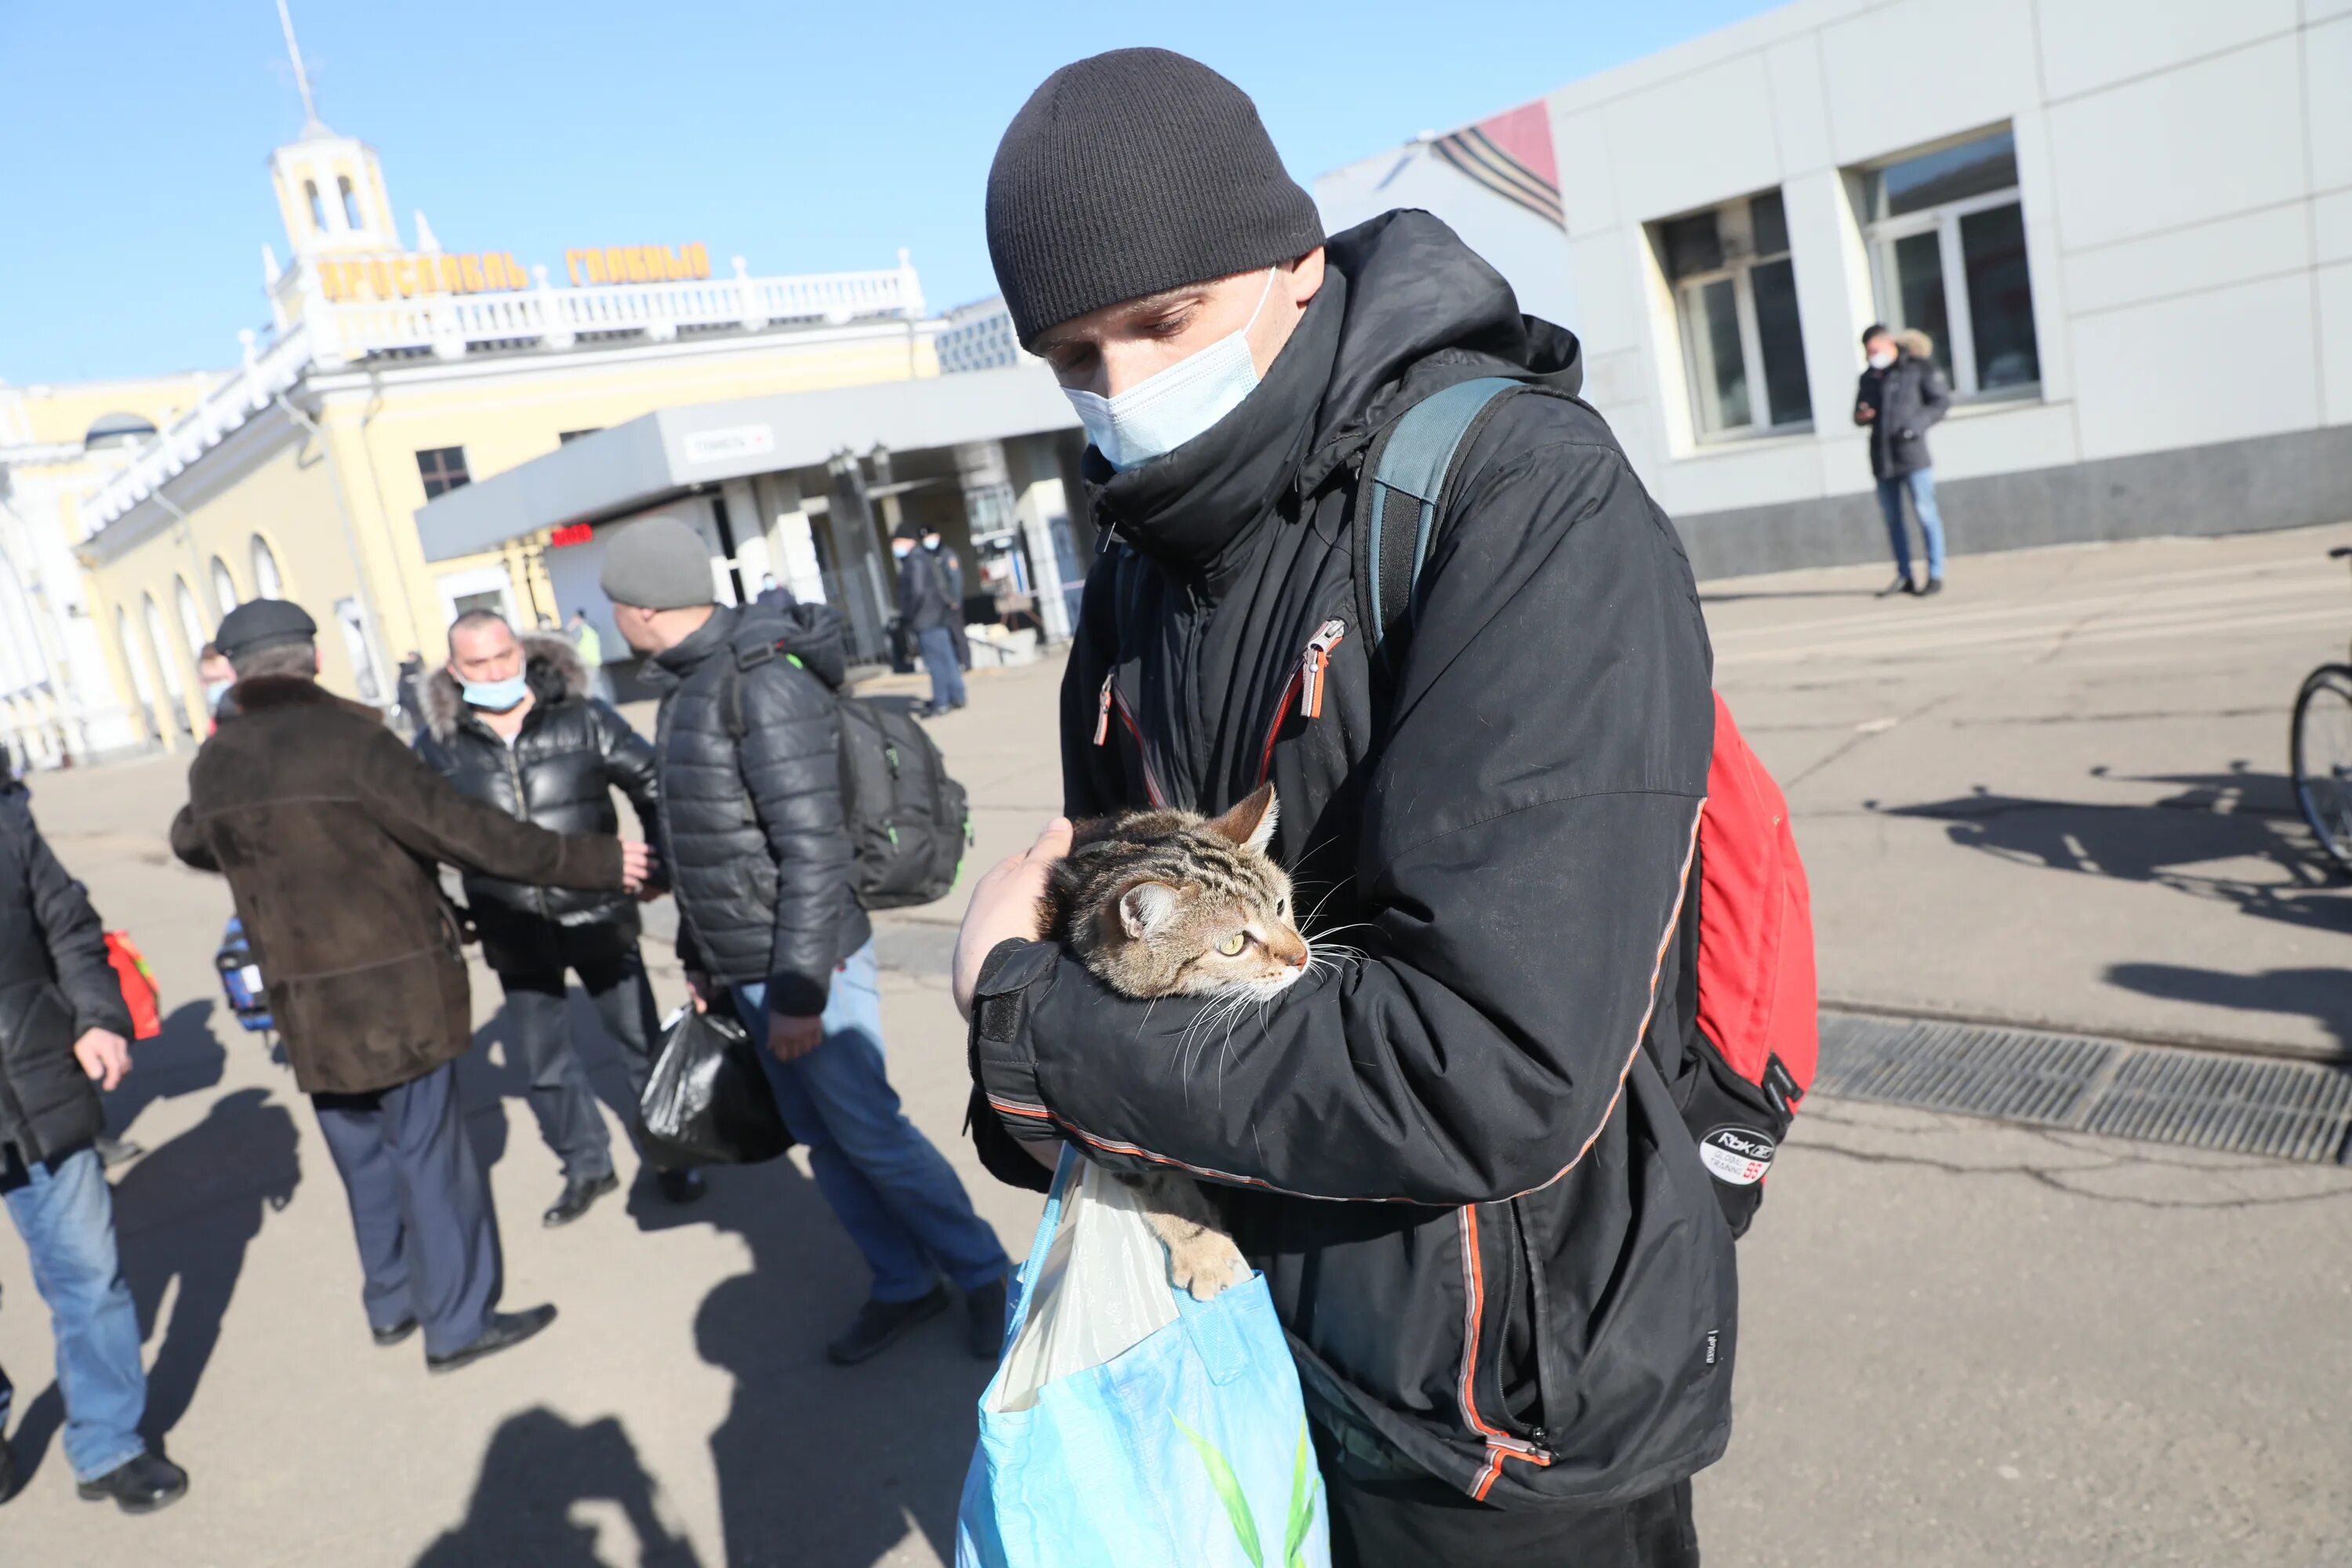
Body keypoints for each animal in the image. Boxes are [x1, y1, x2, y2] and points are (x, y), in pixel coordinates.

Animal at [1040, 780, 1317, 1307]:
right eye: (1233, 944)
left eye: (1280, 907)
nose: (1301, 956)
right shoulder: (1099, 1127)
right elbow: (1159, 1180)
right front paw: (1203, 1250)